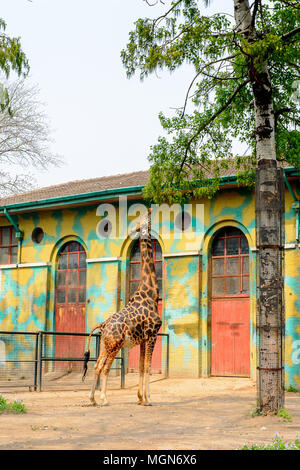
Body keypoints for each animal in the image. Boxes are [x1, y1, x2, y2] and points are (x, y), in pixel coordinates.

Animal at [82, 207, 162, 406]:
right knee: (104, 368)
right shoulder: (152, 334)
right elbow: (148, 367)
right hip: (115, 345)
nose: (152, 211)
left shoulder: (143, 339)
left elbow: (141, 366)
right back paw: (104, 399)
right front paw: (149, 399)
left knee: (96, 366)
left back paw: (92, 399)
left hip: (105, 345)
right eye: (147, 219)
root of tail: (103, 325)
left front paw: (140, 398)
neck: (151, 293)